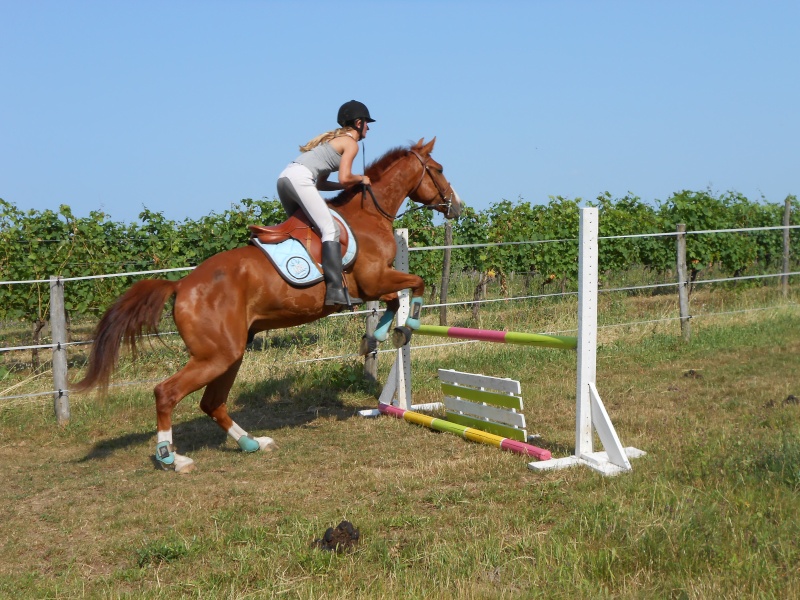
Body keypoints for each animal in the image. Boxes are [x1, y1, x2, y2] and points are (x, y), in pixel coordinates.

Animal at [75, 138, 466, 472]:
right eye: (439, 168)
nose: (457, 206)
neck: (368, 215)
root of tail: (182, 284)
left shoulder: (373, 285)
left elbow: (393, 302)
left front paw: (378, 336)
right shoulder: (373, 279)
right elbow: (416, 284)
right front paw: (405, 327)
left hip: (229, 354)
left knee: (211, 402)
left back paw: (251, 442)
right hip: (216, 355)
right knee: (166, 392)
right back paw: (172, 458)